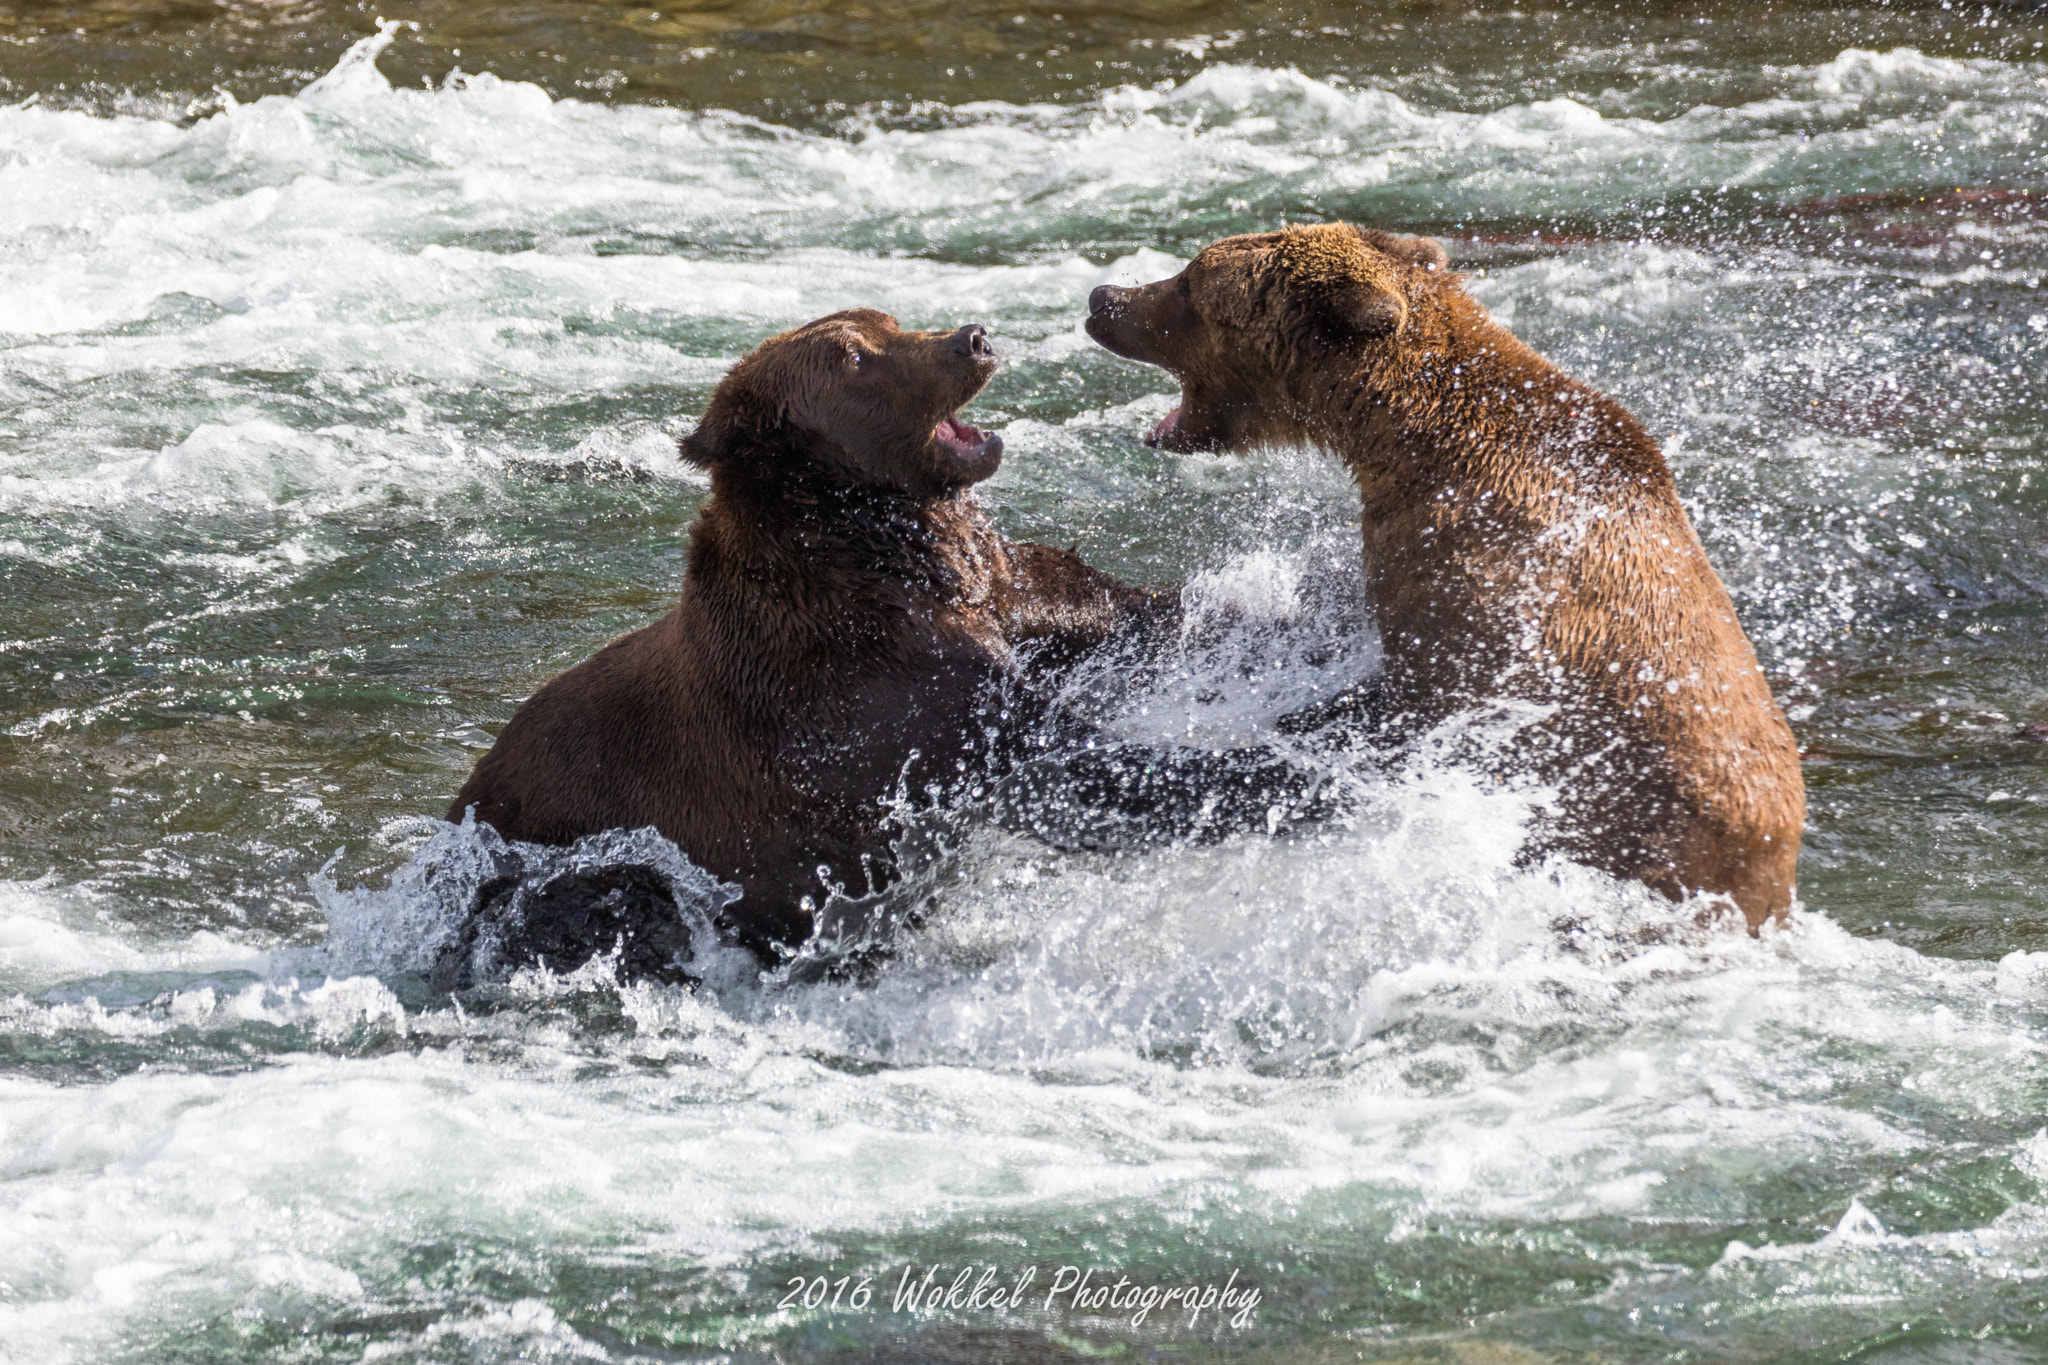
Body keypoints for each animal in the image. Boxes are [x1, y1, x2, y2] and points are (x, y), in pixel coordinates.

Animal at [447, 309, 1170, 972]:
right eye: (853, 358)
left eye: (890, 322)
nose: (974, 338)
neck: (876, 554)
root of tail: (458, 811)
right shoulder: (871, 688)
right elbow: (1042, 754)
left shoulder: (995, 592)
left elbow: (1092, 604)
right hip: (578, 854)